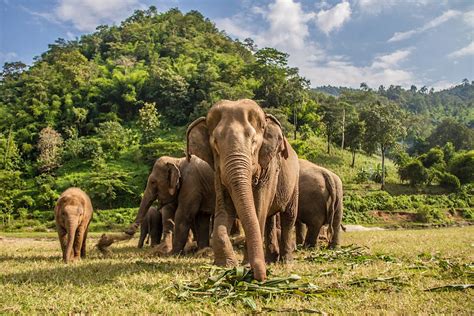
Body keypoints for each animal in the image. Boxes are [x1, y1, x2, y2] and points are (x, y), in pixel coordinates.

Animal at [186, 99, 300, 282]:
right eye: (215, 143)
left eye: (253, 141)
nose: (261, 277)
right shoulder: (218, 172)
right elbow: (224, 208)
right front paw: (224, 266)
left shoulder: (269, 168)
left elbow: (259, 208)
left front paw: (246, 265)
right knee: (270, 218)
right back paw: (271, 260)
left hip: (294, 181)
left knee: (288, 216)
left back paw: (286, 262)